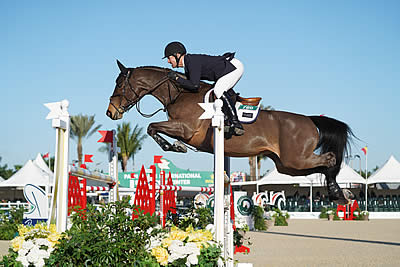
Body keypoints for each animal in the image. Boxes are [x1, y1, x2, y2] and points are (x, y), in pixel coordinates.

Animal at [106, 61, 354, 205]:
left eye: (119, 84)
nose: (111, 112)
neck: (179, 93)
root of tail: (310, 119)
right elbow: (153, 128)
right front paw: (174, 146)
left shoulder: (185, 128)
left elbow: (152, 127)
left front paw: (173, 146)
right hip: (288, 165)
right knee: (321, 165)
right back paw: (338, 193)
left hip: (296, 158)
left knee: (330, 159)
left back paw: (340, 193)